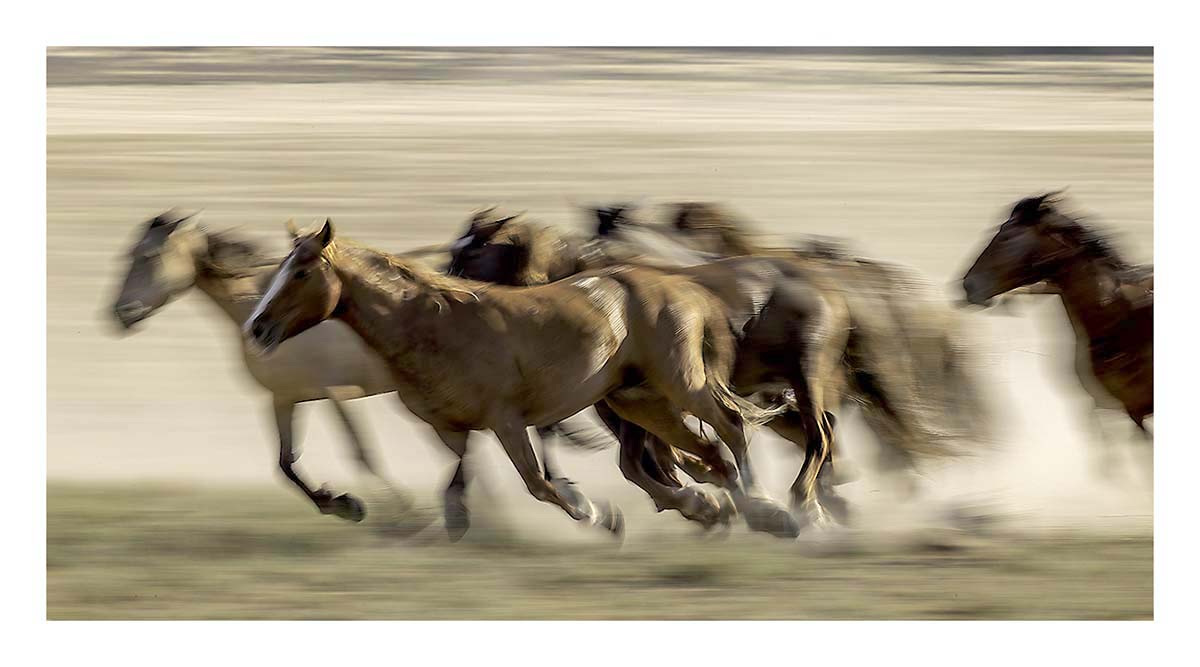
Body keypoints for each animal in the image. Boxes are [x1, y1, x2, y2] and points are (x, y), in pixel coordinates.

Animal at [110, 210, 608, 534]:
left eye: (149, 258)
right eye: (128, 256)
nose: (121, 314)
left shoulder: (340, 394)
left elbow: (361, 454)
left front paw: (402, 513)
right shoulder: (286, 398)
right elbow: (285, 464)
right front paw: (342, 505)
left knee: (539, 430)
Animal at [246, 219, 790, 540]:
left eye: (300, 272)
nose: (256, 327)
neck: (436, 325)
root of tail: (684, 288)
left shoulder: (508, 422)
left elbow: (539, 483)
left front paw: (598, 513)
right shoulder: (453, 430)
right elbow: (458, 487)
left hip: (681, 386)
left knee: (729, 428)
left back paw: (772, 510)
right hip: (637, 401)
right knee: (707, 454)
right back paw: (729, 510)